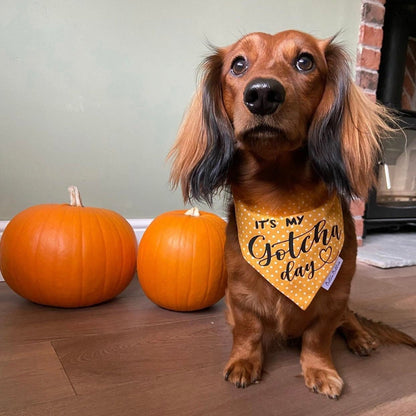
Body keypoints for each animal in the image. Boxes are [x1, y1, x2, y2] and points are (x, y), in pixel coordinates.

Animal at [169, 30, 416, 398]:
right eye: (238, 65)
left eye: (305, 61)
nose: (262, 94)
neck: (280, 200)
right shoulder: (239, 298)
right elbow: (248, 332)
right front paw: (244, 362)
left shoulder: (333, 300)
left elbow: (318, 338)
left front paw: (321, 370)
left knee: (350, 319)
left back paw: (362, 338)